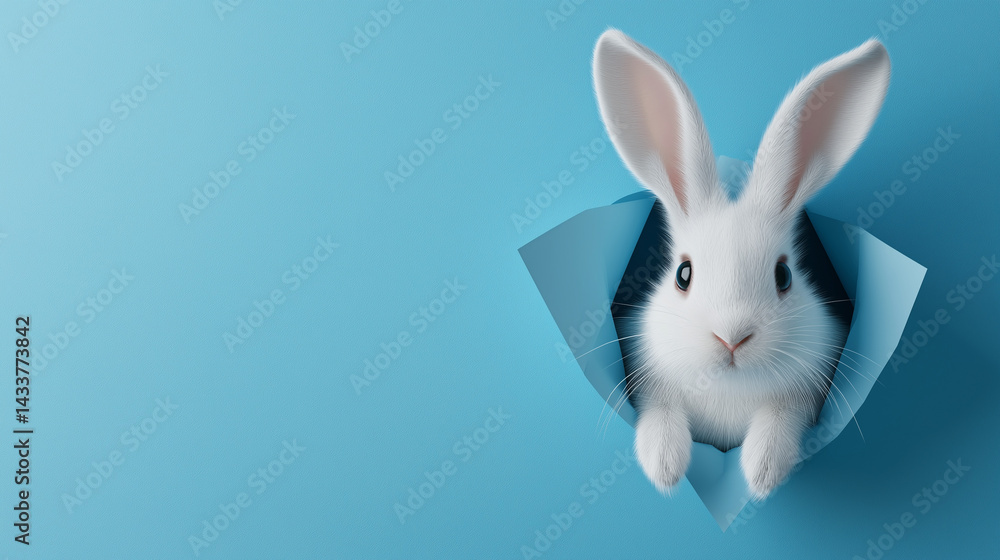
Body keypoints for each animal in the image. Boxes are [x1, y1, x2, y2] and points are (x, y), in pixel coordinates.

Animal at [592, 29, 890, 500]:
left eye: (783, 275)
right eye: (683, 275)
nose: (731, 338)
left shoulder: (803, 395)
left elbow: (778, 423)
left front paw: (761, 472)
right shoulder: (652, 386)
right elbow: (660, 417)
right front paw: (665, 468)